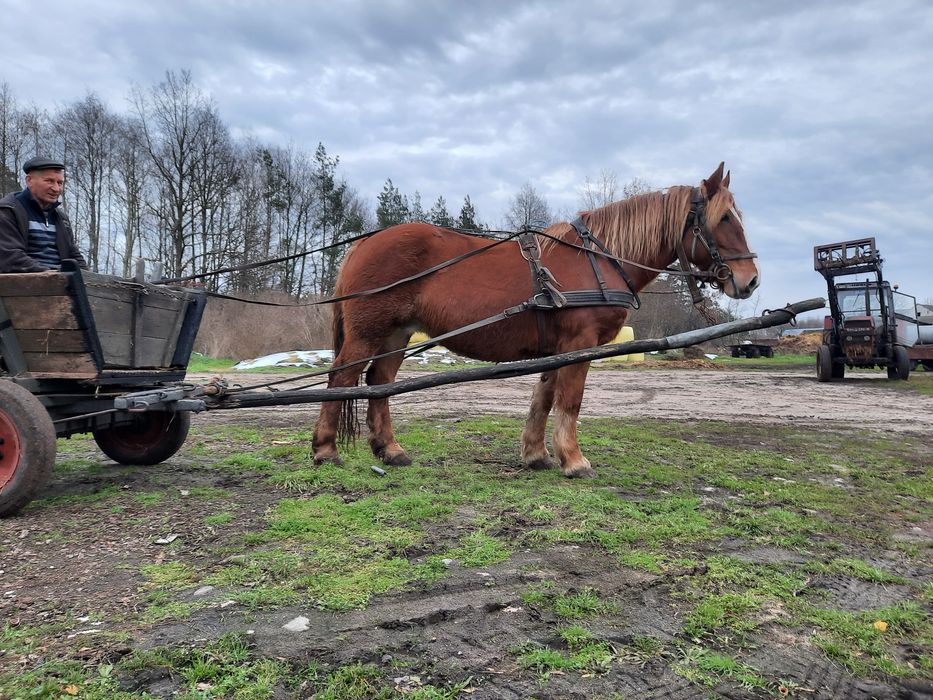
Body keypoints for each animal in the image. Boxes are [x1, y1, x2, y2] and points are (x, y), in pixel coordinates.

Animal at [314, 164, 756, 476]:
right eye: (723, 219)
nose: (750, 280)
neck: (598, 260)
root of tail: (366, 242)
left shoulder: (556, 348)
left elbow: (543, 398)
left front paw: (536, 454)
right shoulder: (579, 344)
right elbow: (570, 400)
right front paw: (574, 460)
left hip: (396, 334)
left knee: (380, 382)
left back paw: (390, 450)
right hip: (367, 332)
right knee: (341, 378)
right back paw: (325, 449)